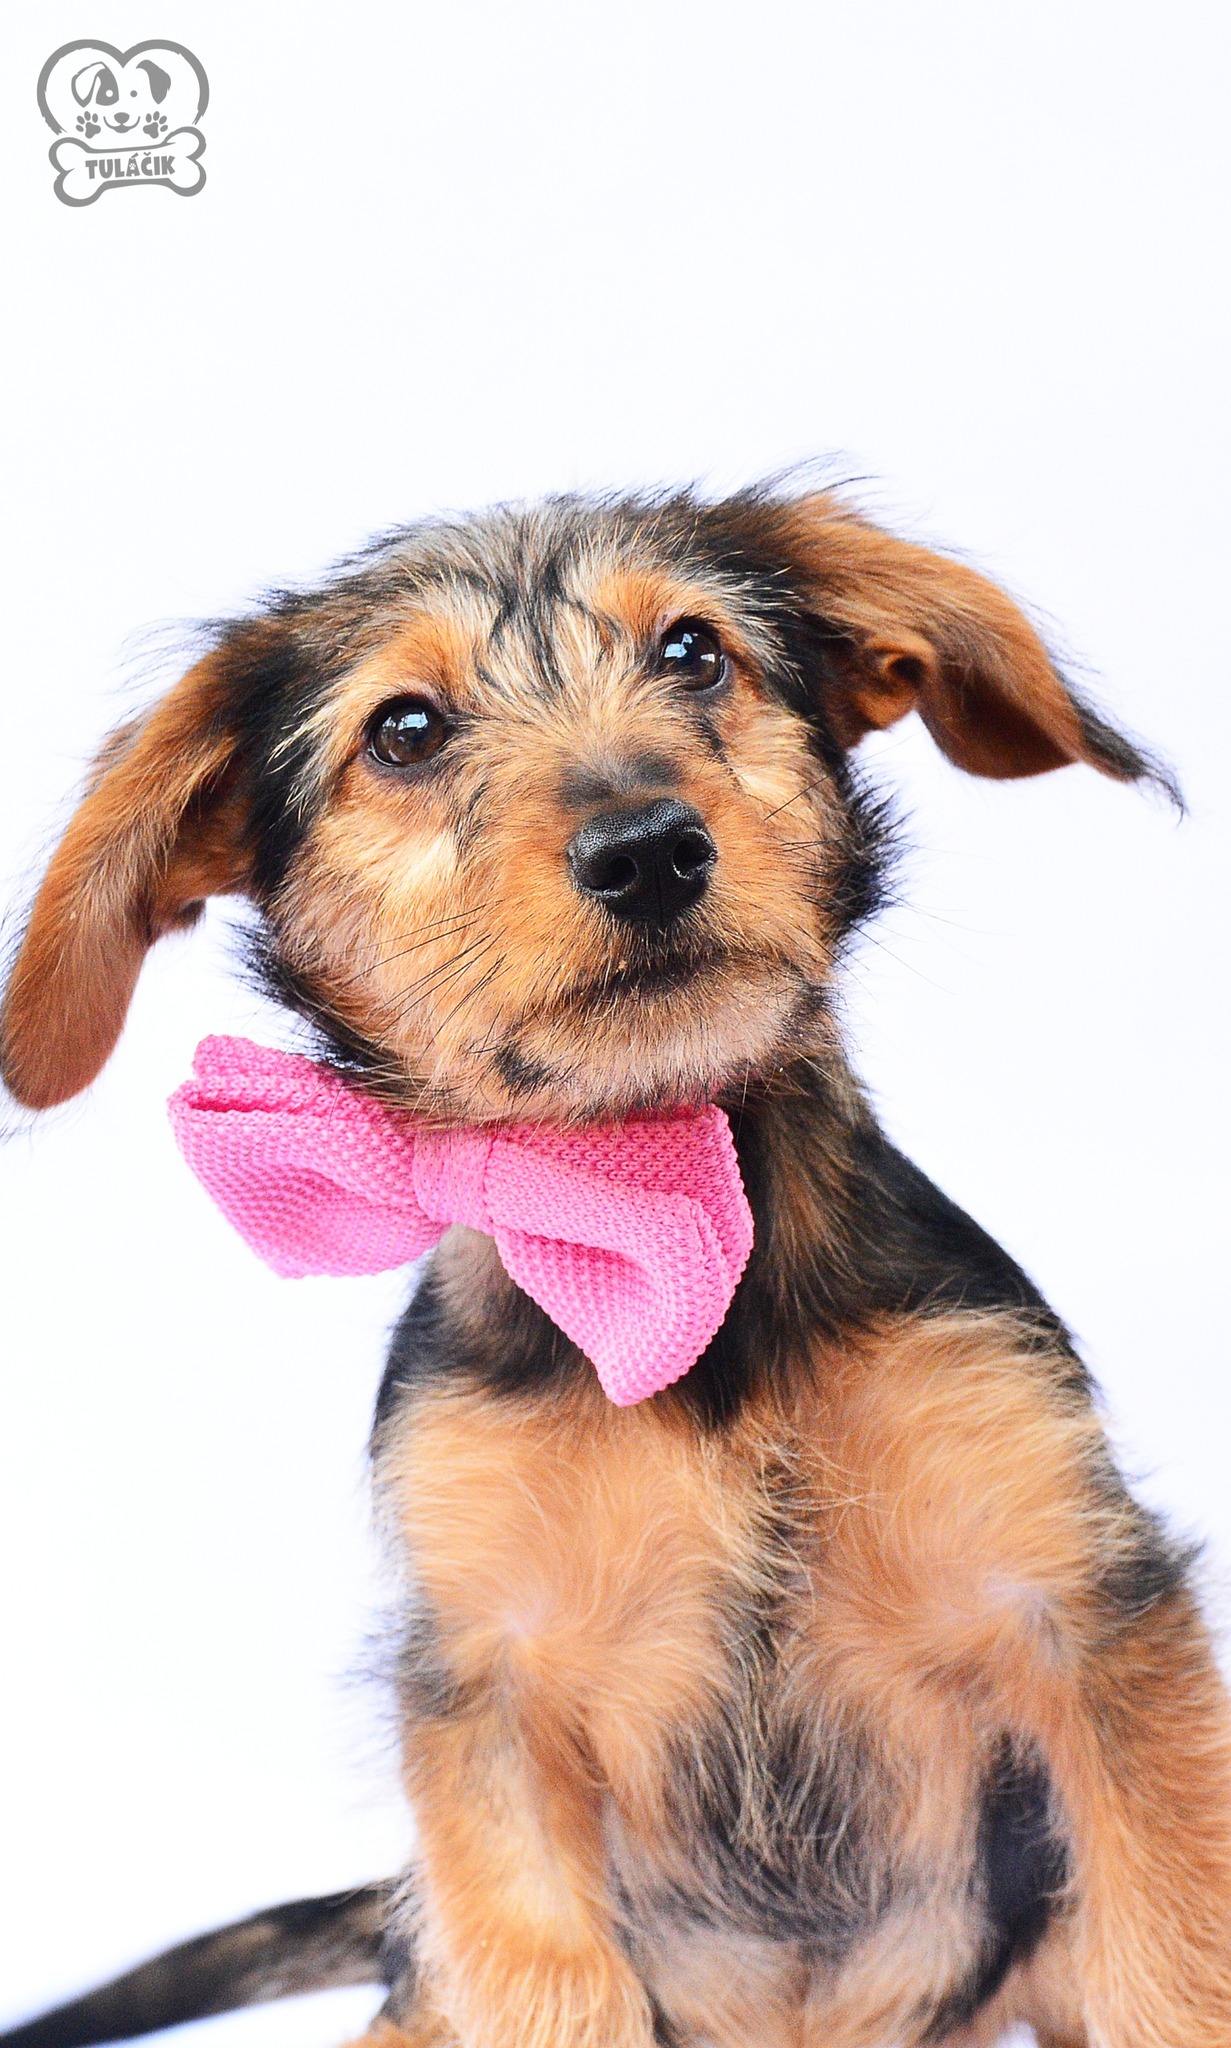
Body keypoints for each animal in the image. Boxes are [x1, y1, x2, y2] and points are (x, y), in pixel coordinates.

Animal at [2, 484, 1228, 2048]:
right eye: (403, 730)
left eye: (694, 651)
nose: (646, 847)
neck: (652, 1216)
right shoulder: (491, 1689)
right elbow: (546, 1979)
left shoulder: (1077, 1605)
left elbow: (1173, 1964)